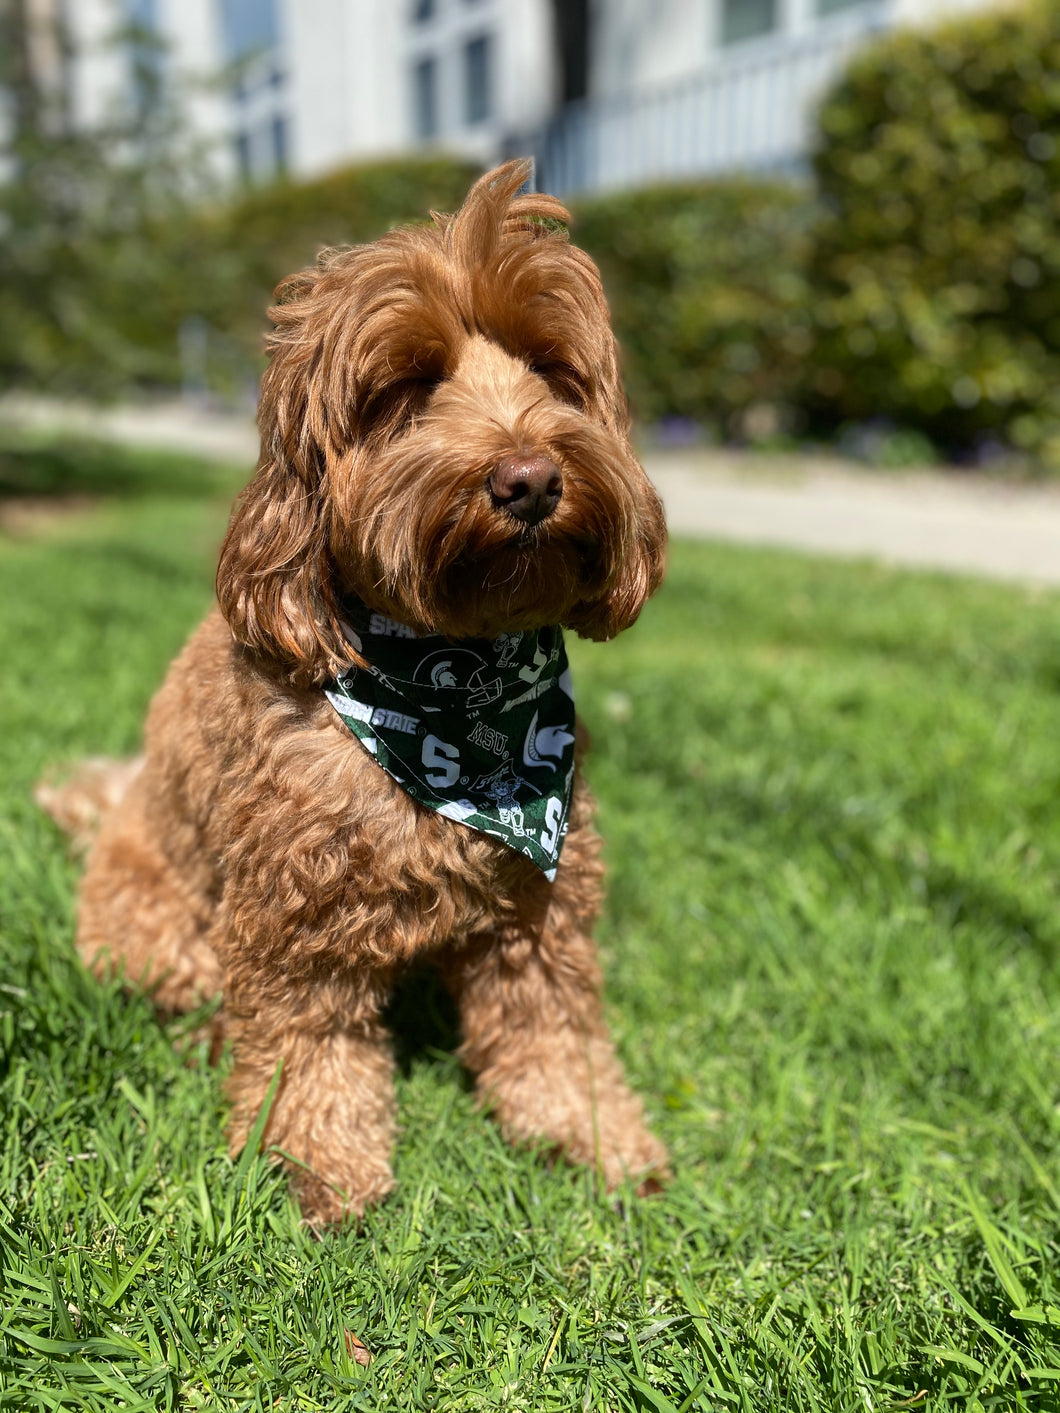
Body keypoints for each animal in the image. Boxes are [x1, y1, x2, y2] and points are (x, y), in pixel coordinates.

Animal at [43, 162, 672, 1226]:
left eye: (551, 369)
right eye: (406, 388)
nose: (531, 478)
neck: (454, 687)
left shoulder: (539, 909)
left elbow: (554, 1028)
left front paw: (594, 1134)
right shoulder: (296, 922)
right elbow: (309, 1049)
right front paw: (314, 1166)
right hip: (157, 929)